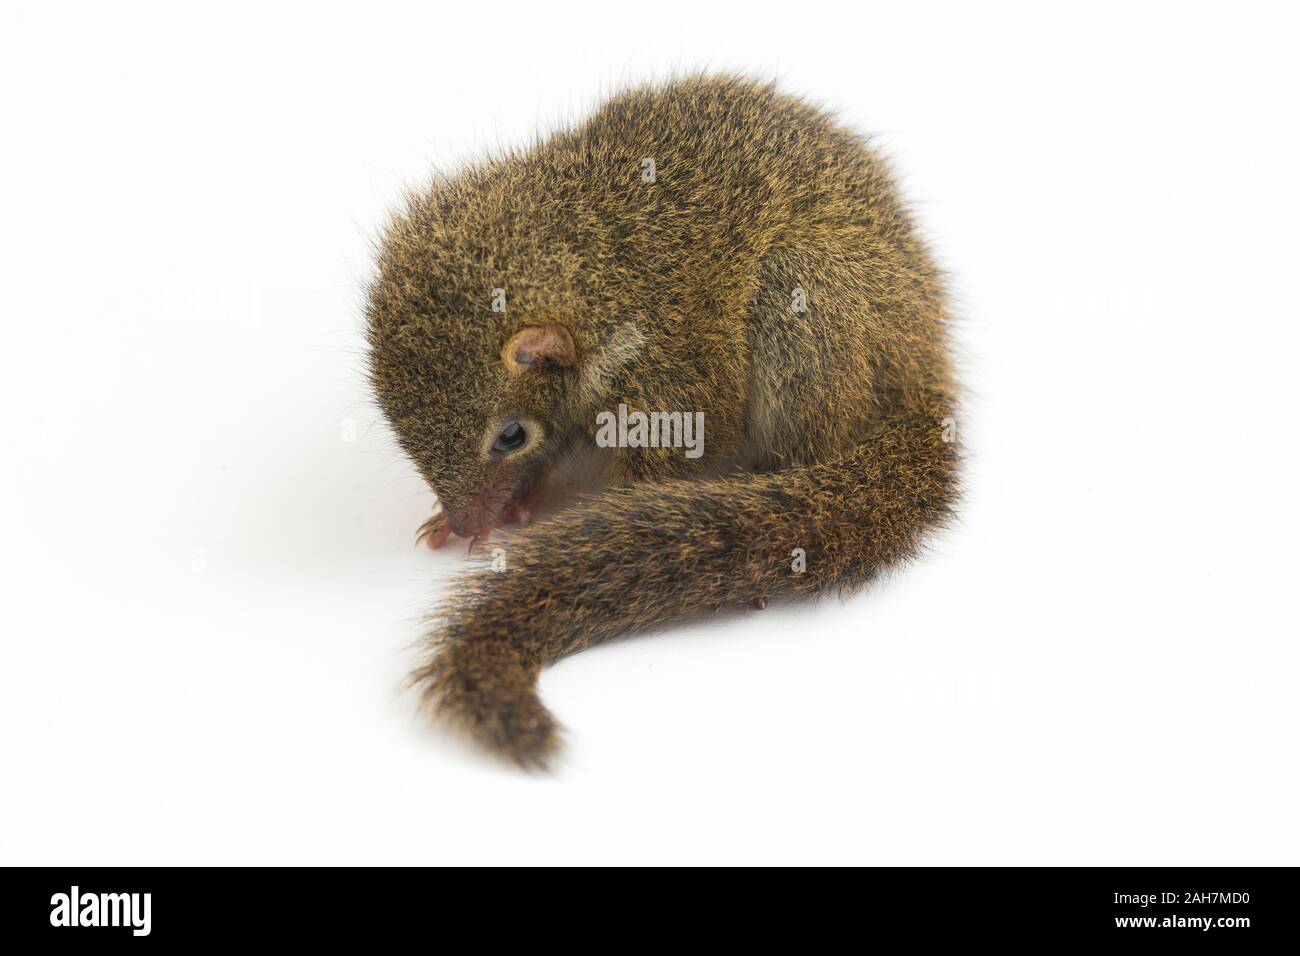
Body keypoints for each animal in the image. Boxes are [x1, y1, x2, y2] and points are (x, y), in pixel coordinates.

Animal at [366, 74, 956, 764]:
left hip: (813, 291)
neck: (595, 265)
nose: (466, 521)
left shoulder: (664, 381)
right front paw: (507, 507)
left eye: (511, 436)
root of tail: (924, 361)